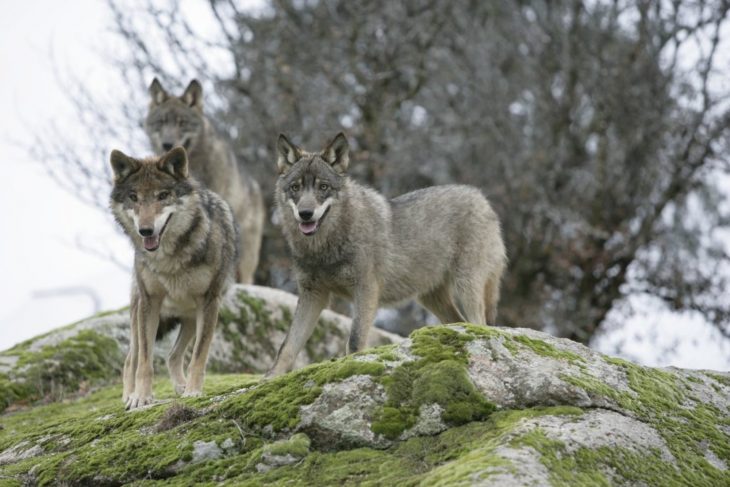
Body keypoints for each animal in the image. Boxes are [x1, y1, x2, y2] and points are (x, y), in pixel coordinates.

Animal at [108, 147, 236, 410]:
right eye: (134, 197)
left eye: (163, 195)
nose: (145, 230)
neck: (169, 258)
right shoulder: (150, 302)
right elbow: (145, 361)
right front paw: (141, 398)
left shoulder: (209, 301)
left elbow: (199, 356)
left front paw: (193, 391)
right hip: (138, 313)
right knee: (131, 359)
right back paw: (129, 395)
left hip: (191, 317)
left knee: (172, 355)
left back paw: (181, 386)